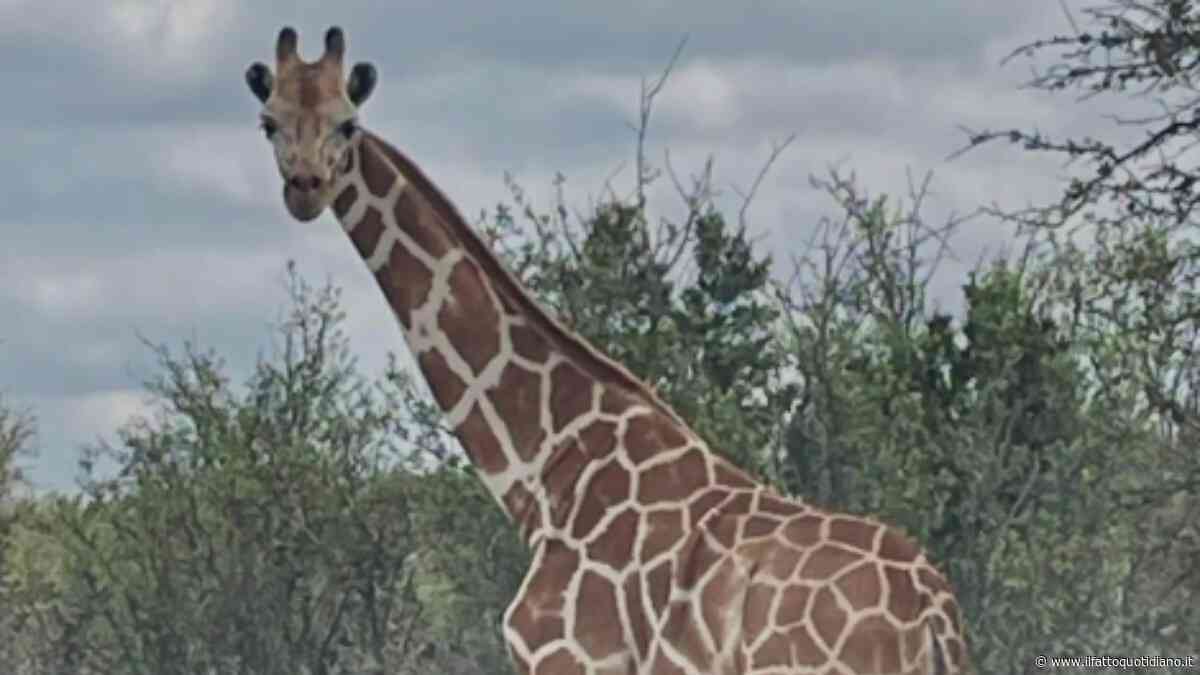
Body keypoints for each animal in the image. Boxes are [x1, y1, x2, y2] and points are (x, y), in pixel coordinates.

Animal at [244, 26, 972, 675]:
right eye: (269, 122)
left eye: (347, 125)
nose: (305, 188)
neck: (547, 470)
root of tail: (934, 616)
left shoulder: (567, 657)